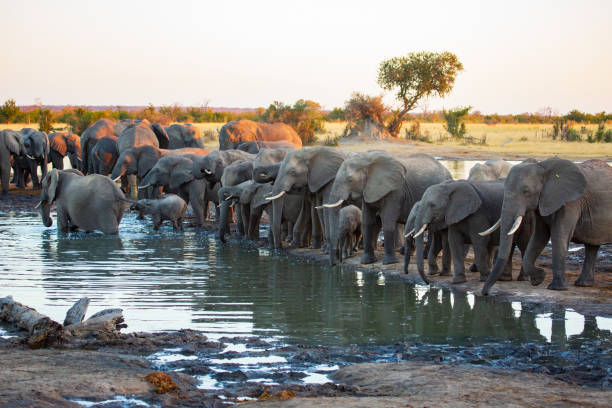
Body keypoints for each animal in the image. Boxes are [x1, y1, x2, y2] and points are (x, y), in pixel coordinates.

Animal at [482, 157, 612, 294]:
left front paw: (556, 288)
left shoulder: (571, 202)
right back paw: (583, 284)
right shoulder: (543, 202)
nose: (485, 293)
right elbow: (539, 237)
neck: (542, 167)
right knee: (592, 246)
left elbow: (559, 237)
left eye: (526, 191)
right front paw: (538, 278)